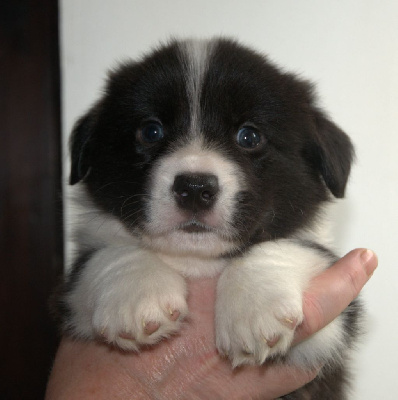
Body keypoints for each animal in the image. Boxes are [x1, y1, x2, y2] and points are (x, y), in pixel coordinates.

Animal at [58, 36, 360, 396]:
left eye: (249, 136)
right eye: (151, 131)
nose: (194, 187)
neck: (197, 261)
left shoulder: (332, 328)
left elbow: (287, 246)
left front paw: (255, 308)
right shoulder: (69, 304)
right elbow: (105, 254)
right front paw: (135, 294)